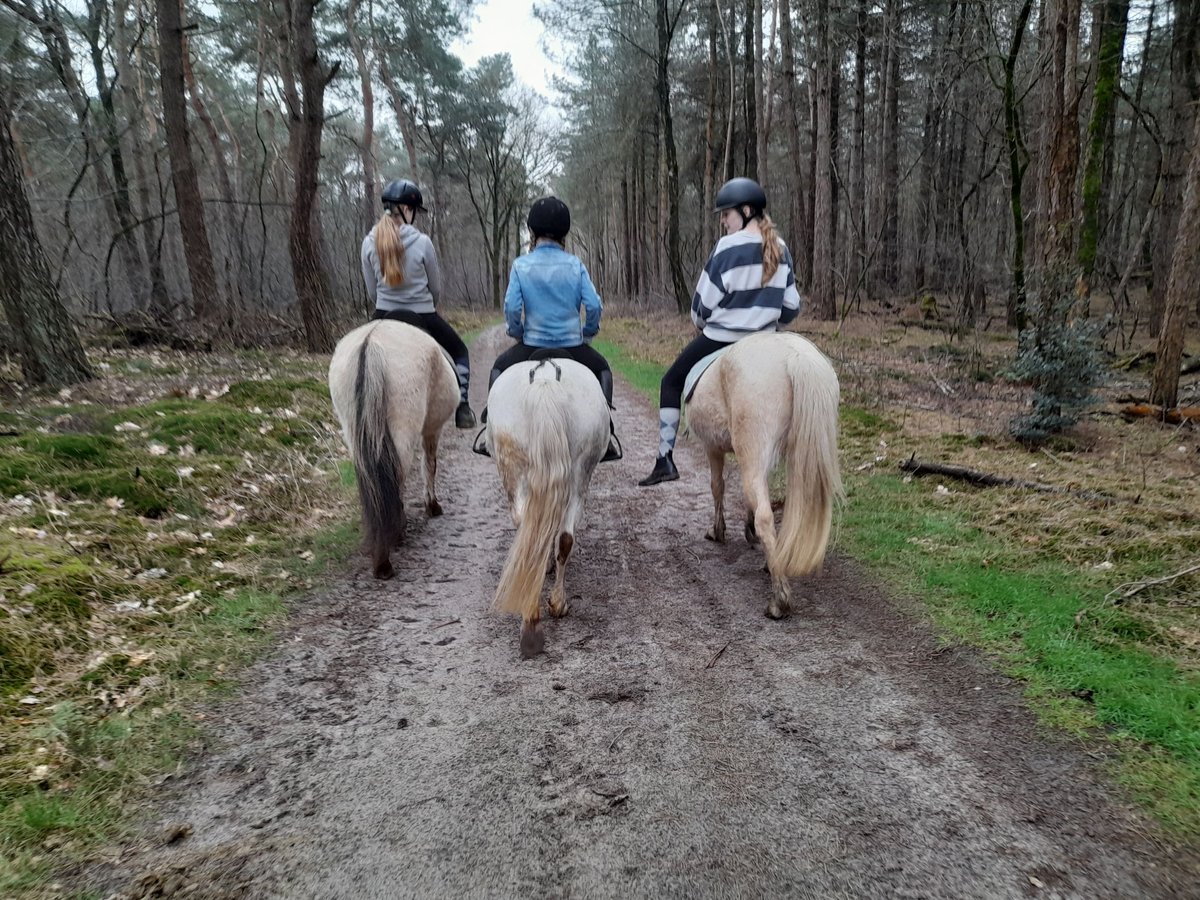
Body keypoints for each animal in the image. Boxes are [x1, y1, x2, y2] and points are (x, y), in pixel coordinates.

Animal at [328, 321, 458, 580]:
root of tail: (370, 343)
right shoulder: (432, 429)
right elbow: (430, 466)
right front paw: (432, 506)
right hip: (403, 430)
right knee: (396, 476)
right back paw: (386, 558)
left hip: (355, 434)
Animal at [482, 355, 609, 657]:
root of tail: (544, 380)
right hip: (578, 470)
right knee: (562, 536)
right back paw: (547, 610)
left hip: (516, 468)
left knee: (532, 529)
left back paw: (537, 617)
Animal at [686, 331, 844, 619]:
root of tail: (797, 356)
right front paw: (746, 530)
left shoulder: (712, 447)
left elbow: (717, 486)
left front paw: (718, 531)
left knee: (765, 517)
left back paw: (779, 599)